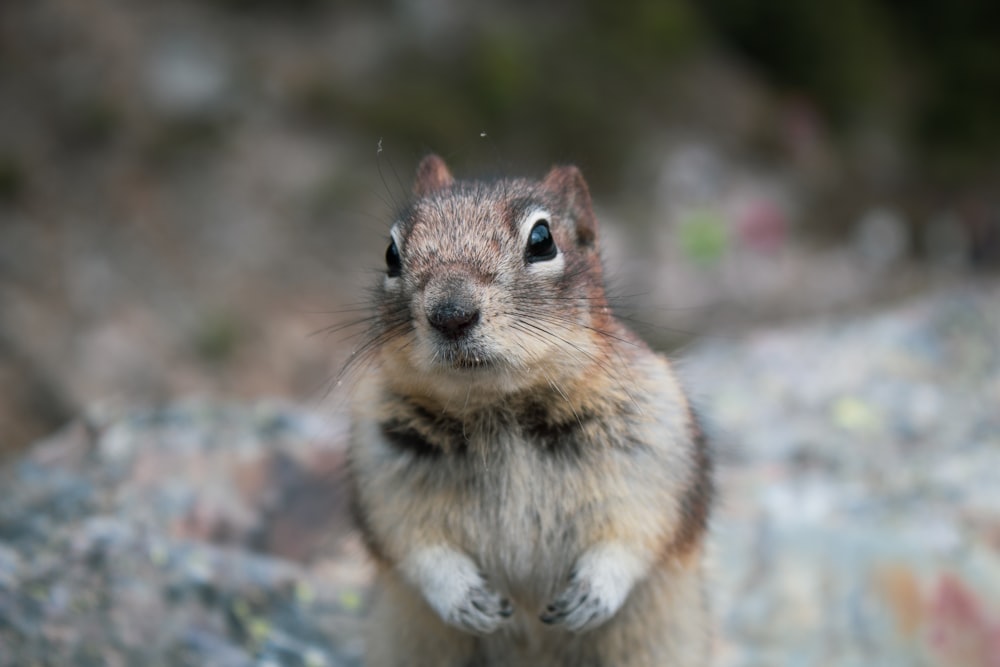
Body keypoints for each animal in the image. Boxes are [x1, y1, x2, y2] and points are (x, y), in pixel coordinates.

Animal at [348, 155, 716, 667]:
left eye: (542, 241)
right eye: (390, 253)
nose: (451, 314)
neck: (500, 407)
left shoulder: (654, 451)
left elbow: (635, 533)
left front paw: (593, 593)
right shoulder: (381, 465)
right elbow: (413, 545)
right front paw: (464, 598)